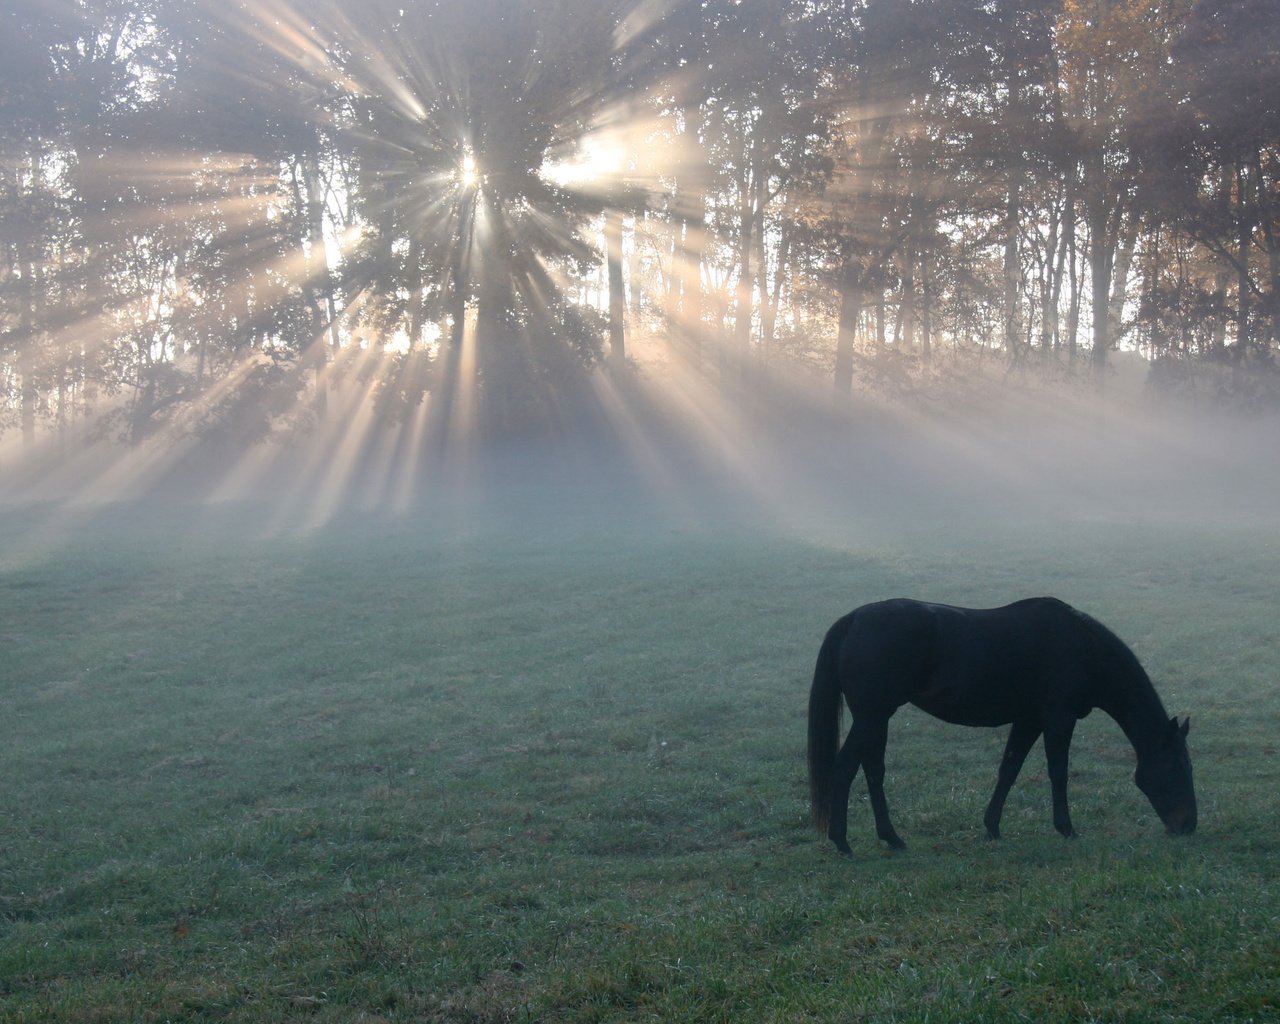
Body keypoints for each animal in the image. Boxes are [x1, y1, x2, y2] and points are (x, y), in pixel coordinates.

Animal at [808, 599, 1198, 855]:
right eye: (1179, 766)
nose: (1188, 825)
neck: (1083, 646)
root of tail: (854, 618)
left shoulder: (1028, 719)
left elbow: (1009, 769)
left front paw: (992, 826)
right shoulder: (1058, 717)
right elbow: (1058, 772)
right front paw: (1067, 828)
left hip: (877, 718)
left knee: (873, 771)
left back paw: (892, 837)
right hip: (871, 716)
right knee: (845, 768)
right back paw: (842, 841)